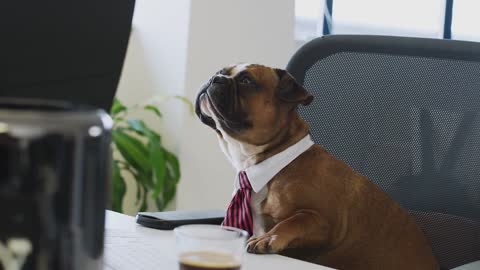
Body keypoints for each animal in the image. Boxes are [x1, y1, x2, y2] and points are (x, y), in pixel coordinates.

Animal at [195, 63, 438, 270]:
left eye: (246, 81)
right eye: (221, 71)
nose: (215, 78)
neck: (274, 162)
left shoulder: (324, 222)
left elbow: (294, 221)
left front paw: (269, 237)